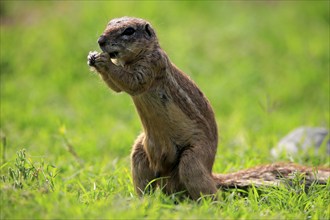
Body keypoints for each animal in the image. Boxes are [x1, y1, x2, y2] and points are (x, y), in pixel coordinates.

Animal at [87, 16, 330, 199]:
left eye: (128, 31)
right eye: (108, 24)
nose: (100, 41)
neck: (137, 57)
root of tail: (211, 172)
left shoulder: (153, 65)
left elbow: (133, 82)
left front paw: (103, 61)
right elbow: (118, 87)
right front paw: (92, 58)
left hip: (193, 159)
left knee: (209, 190)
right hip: (139, 151)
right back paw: (141, 201)